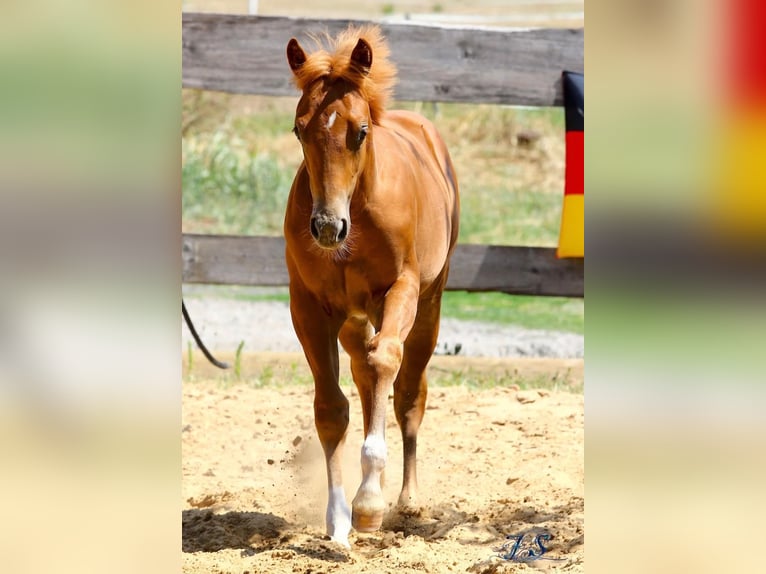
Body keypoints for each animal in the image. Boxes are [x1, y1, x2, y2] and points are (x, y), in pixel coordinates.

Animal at [284, 25, 459, 547]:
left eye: (359, 132)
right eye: (299, 129)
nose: (326, 228)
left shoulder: (398, 291)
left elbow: (387, 364)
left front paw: (368, 506)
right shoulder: (310, 307)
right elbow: (331, 409)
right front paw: (338, 518)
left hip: (428, 305)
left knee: (407, 392)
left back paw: (408, 500)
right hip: (353, 319)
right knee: (364, 380)